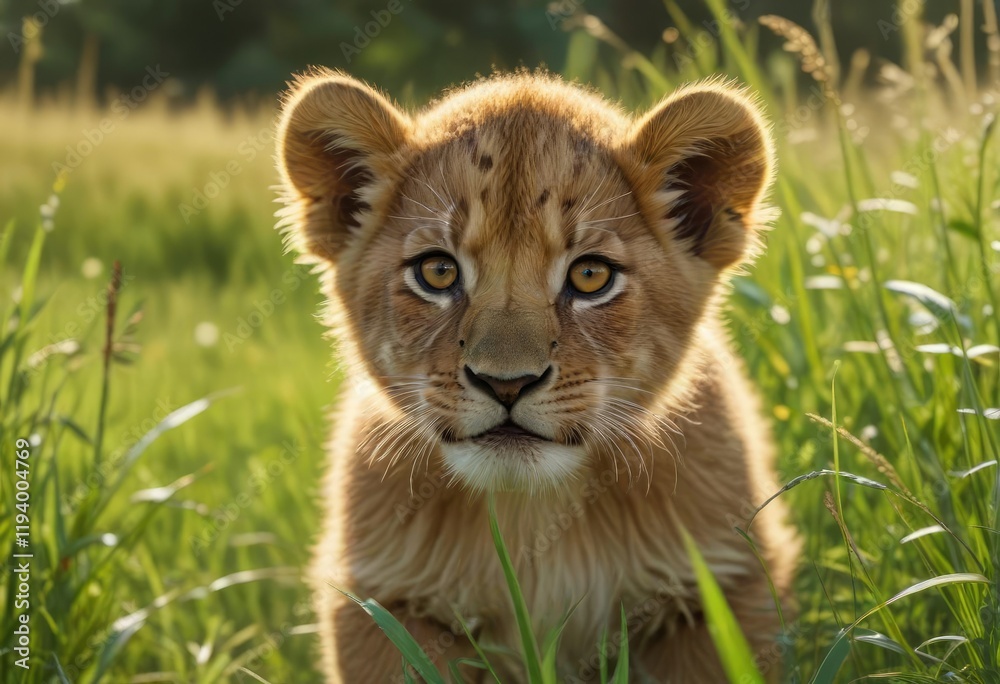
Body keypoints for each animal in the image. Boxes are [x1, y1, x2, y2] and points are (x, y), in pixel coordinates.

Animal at [274, 68, 798, 683]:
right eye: (437, 271)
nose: (507, 383)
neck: (531, 513)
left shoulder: (719, 588)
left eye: (591, 276)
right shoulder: (387, 602)